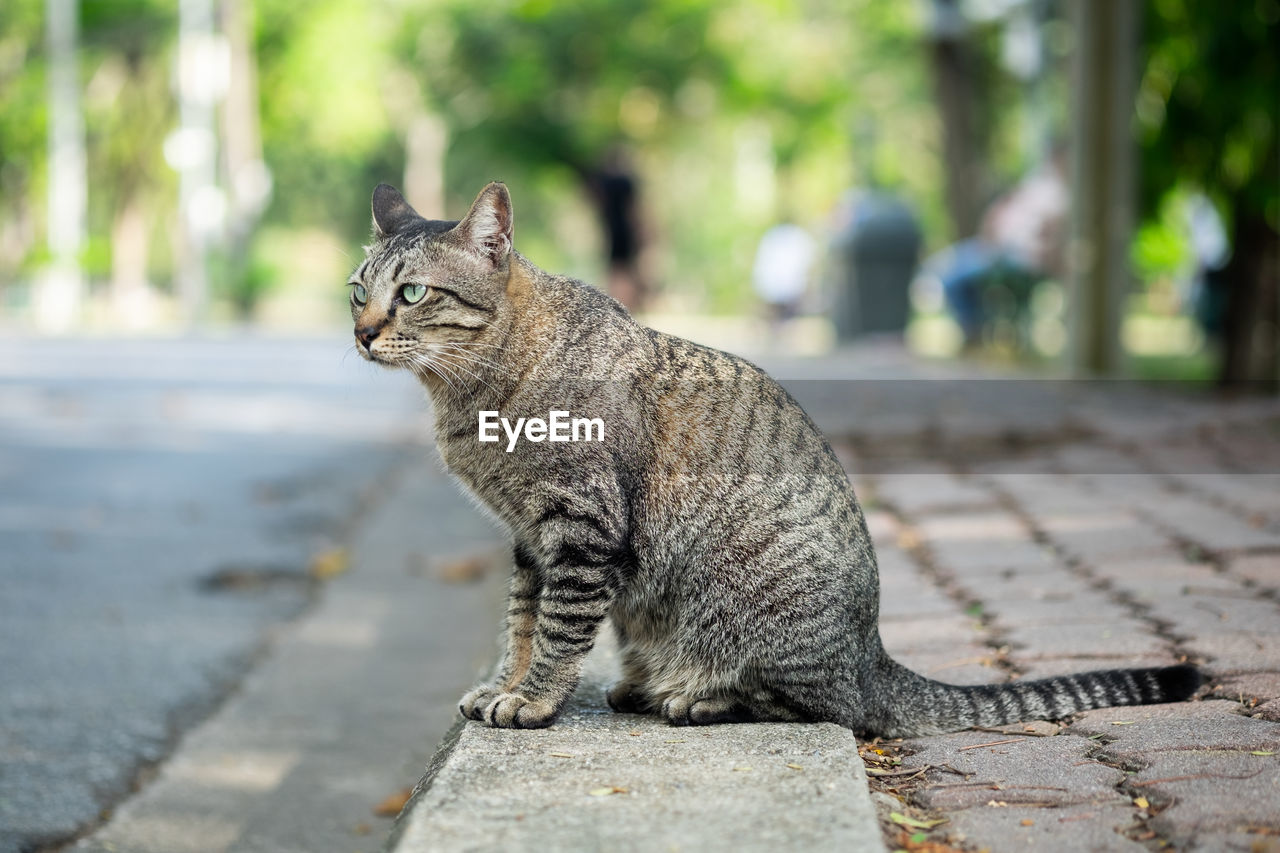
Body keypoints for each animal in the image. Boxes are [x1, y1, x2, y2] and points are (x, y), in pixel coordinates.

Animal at [350, 180, 1198, 737]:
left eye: (414, 293)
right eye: (358, 289)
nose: (360, 331)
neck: (470, 396)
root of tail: (872, 653)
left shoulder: (579, 530)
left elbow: (557, 630)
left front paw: (533, 699)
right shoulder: (530, 538)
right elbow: (520, 622)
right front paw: (504, 682)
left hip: (760, 610)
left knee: (829, 709)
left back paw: (696, 695)